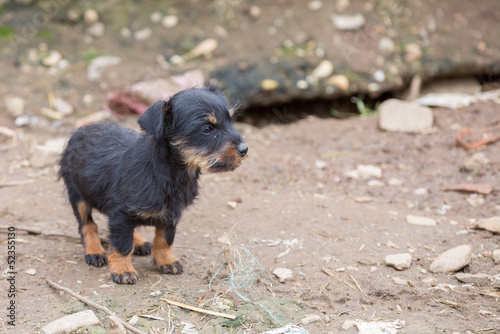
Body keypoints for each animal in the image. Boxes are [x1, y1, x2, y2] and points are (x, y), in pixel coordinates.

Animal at [59, 87, 247, 284]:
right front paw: (123, 270)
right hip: (78, 196)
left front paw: (166, 260)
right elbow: (122, 244)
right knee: (87, 225)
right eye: (207, 129)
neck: (171, 171)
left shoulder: (171, 214)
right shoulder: (121, 213)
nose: (244, 149)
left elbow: (165, 239)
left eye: (231, 121)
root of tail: (80, 131)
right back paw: (94, 250)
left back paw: (139, 242)